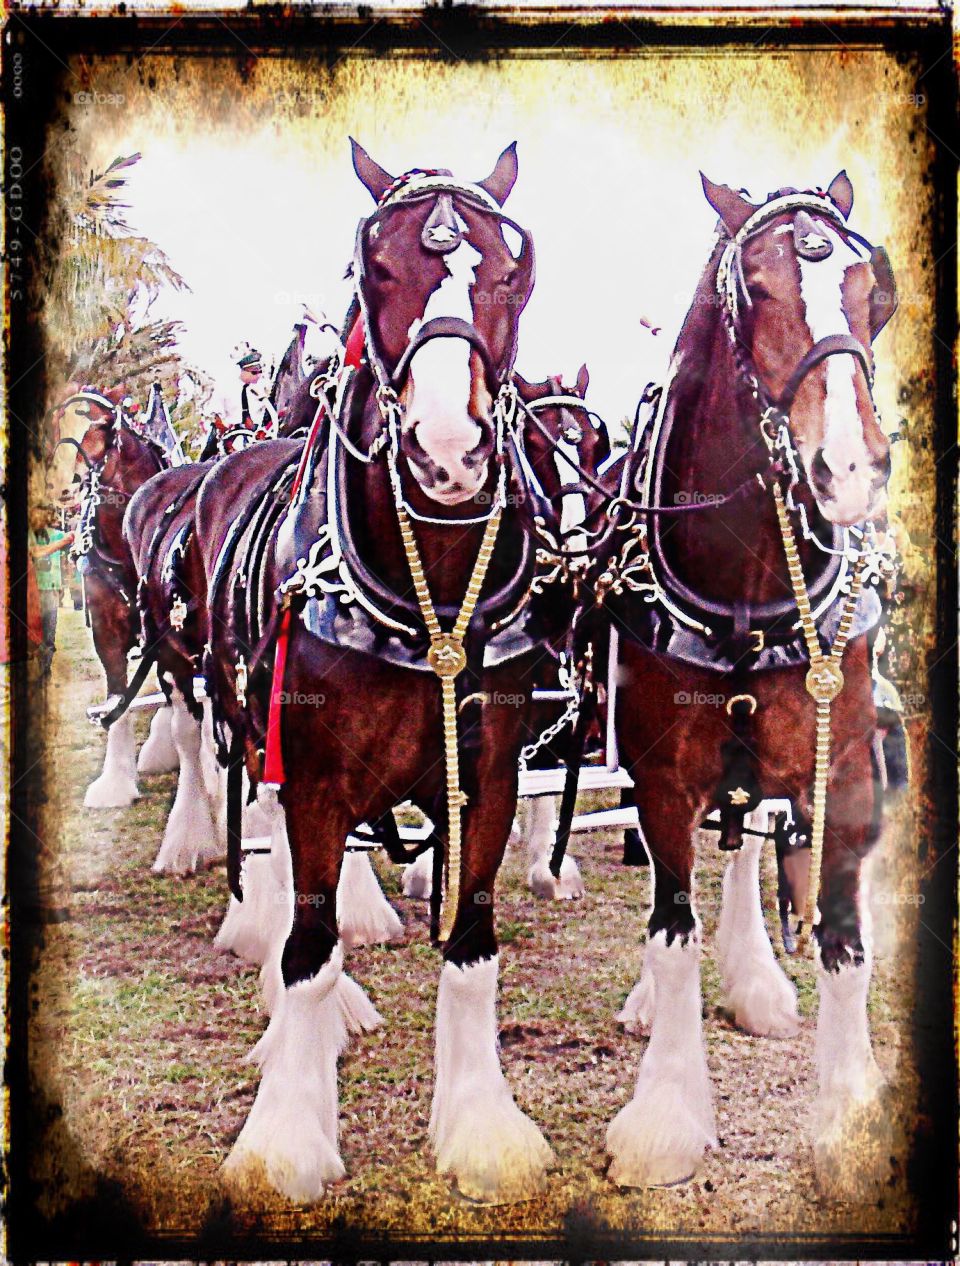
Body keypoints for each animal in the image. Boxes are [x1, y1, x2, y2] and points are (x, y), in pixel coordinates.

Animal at [193, 143, 564, 1200]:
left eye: (513, 273)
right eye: (378, 268)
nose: (447, 450)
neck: (422, 583)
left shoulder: (488, 775)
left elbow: (471, 944)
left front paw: (481, 1129)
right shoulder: (314, 776)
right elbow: (309, 947)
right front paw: (285, 1135)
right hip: (252, 730)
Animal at [597, 170, 896, 1195]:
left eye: (873, 293)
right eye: (754, 290)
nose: (849, 469)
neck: (745, 584)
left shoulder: (843, 769)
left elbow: (844, 940)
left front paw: (849, 1117)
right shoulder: (659, 772)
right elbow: (670, 927)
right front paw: (666, 1115)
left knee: (741, 842)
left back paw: (759, 983)